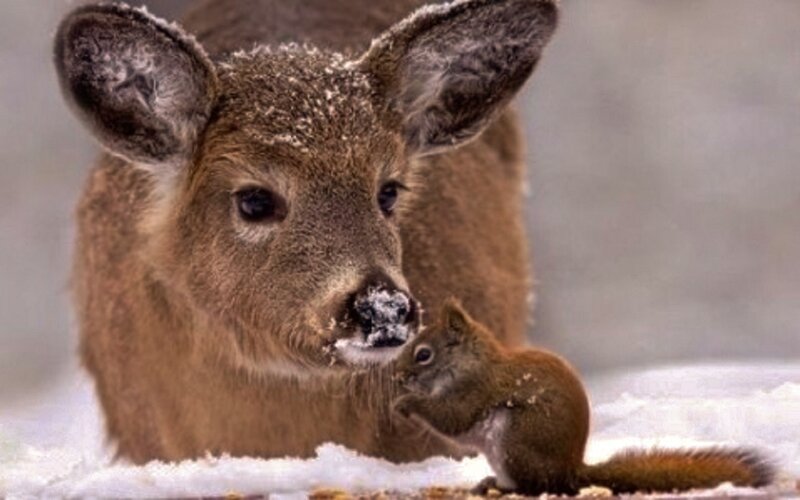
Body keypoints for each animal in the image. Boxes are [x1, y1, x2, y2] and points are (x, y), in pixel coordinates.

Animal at [391, 299, 774, 496]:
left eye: (423, 354)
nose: (398, 378)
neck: (470, 363)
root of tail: (571, 471)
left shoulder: (476, 390)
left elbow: (452, 418)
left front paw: (405, 404)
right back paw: (489, 483)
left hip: (515, 441)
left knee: (535, 487)